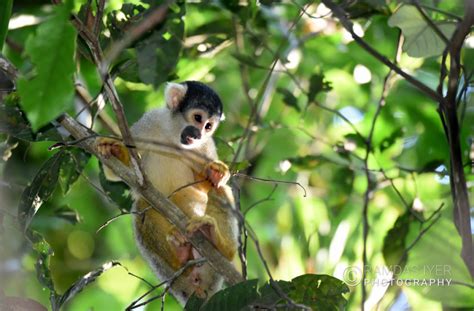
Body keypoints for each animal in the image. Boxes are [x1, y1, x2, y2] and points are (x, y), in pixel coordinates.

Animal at [96, 80, 239, 304]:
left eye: (208, 126)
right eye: (197, 118)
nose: (198, 134)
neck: (173, 138)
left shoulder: (206, 145)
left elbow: (206, 184)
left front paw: (216, 171)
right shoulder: (150, 121)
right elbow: (115, 172)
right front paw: (114, 150)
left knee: (219, 192)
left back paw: (219, 243)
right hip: (164, 268)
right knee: (143, 205)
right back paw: (181, 255)